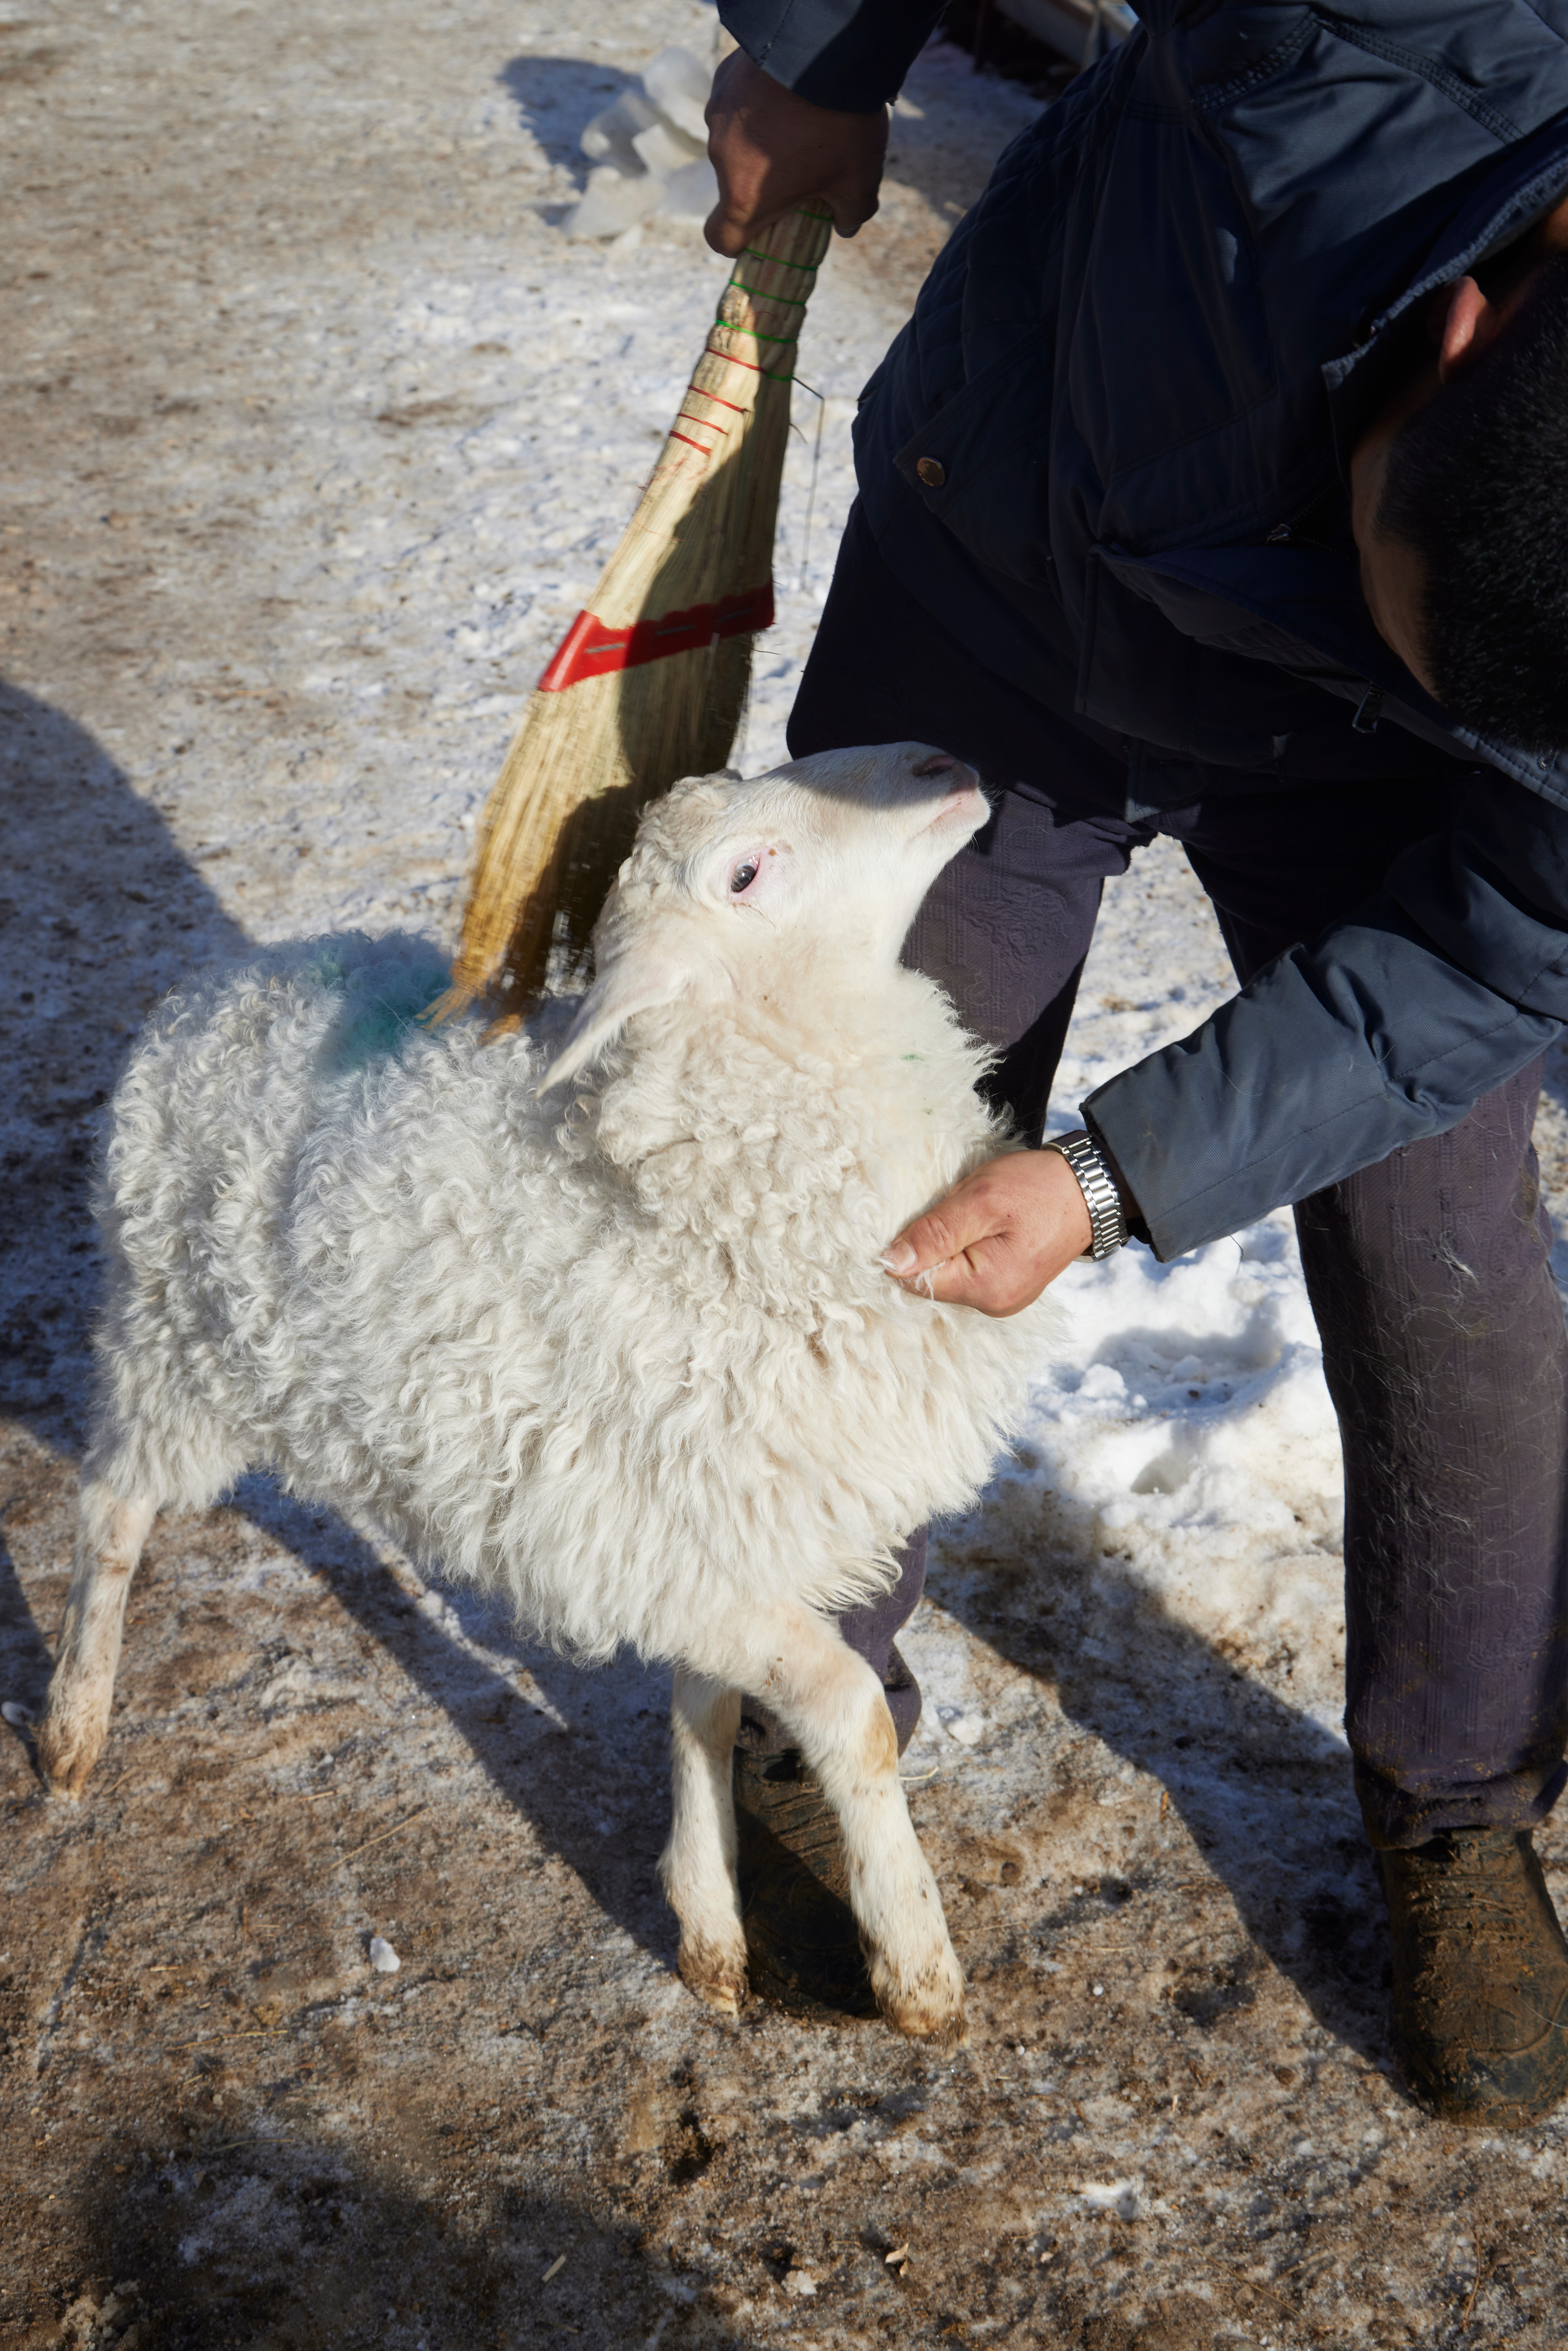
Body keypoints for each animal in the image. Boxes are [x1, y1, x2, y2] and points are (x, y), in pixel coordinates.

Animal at [40, 738, 1067, 2040]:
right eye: (745, 872)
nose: (946, 762)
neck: (699, 1194)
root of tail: (215, 990)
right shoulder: (672, 1546)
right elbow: (852, 1713)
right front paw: (913, 1957)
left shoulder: (704, 1542)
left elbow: (706, 1710)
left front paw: (708, 1929)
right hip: (171, 1339)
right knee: (109, 1513)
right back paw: (73, 1724)